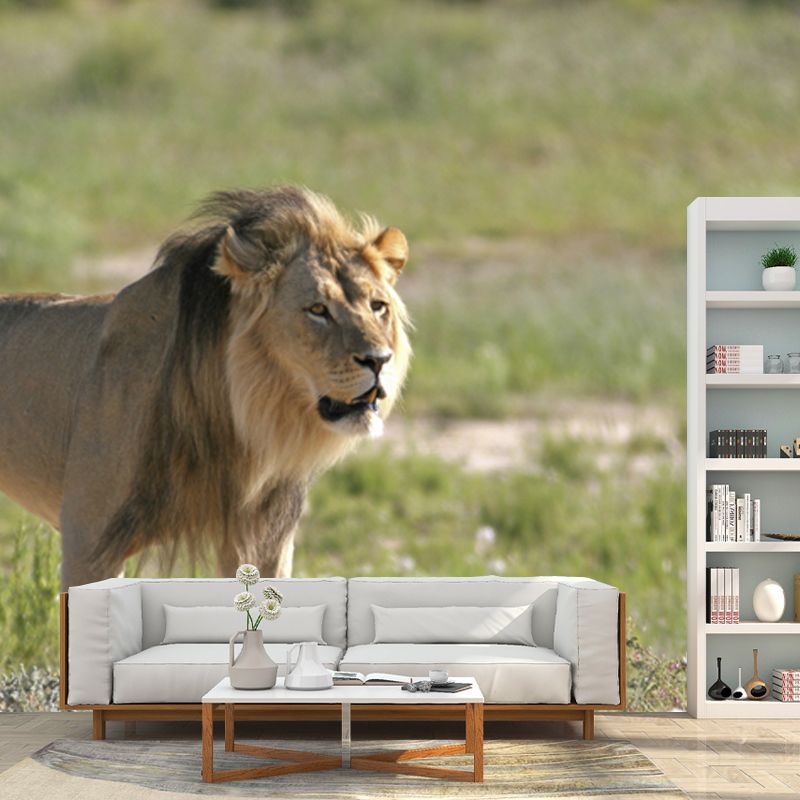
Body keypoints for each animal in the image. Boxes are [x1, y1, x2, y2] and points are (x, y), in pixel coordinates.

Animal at [0, 187, 411, 588]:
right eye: (317, 310)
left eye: (378, 306)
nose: (379, 360)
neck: (238, 423)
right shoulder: (88, 542)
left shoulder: (263, 541)